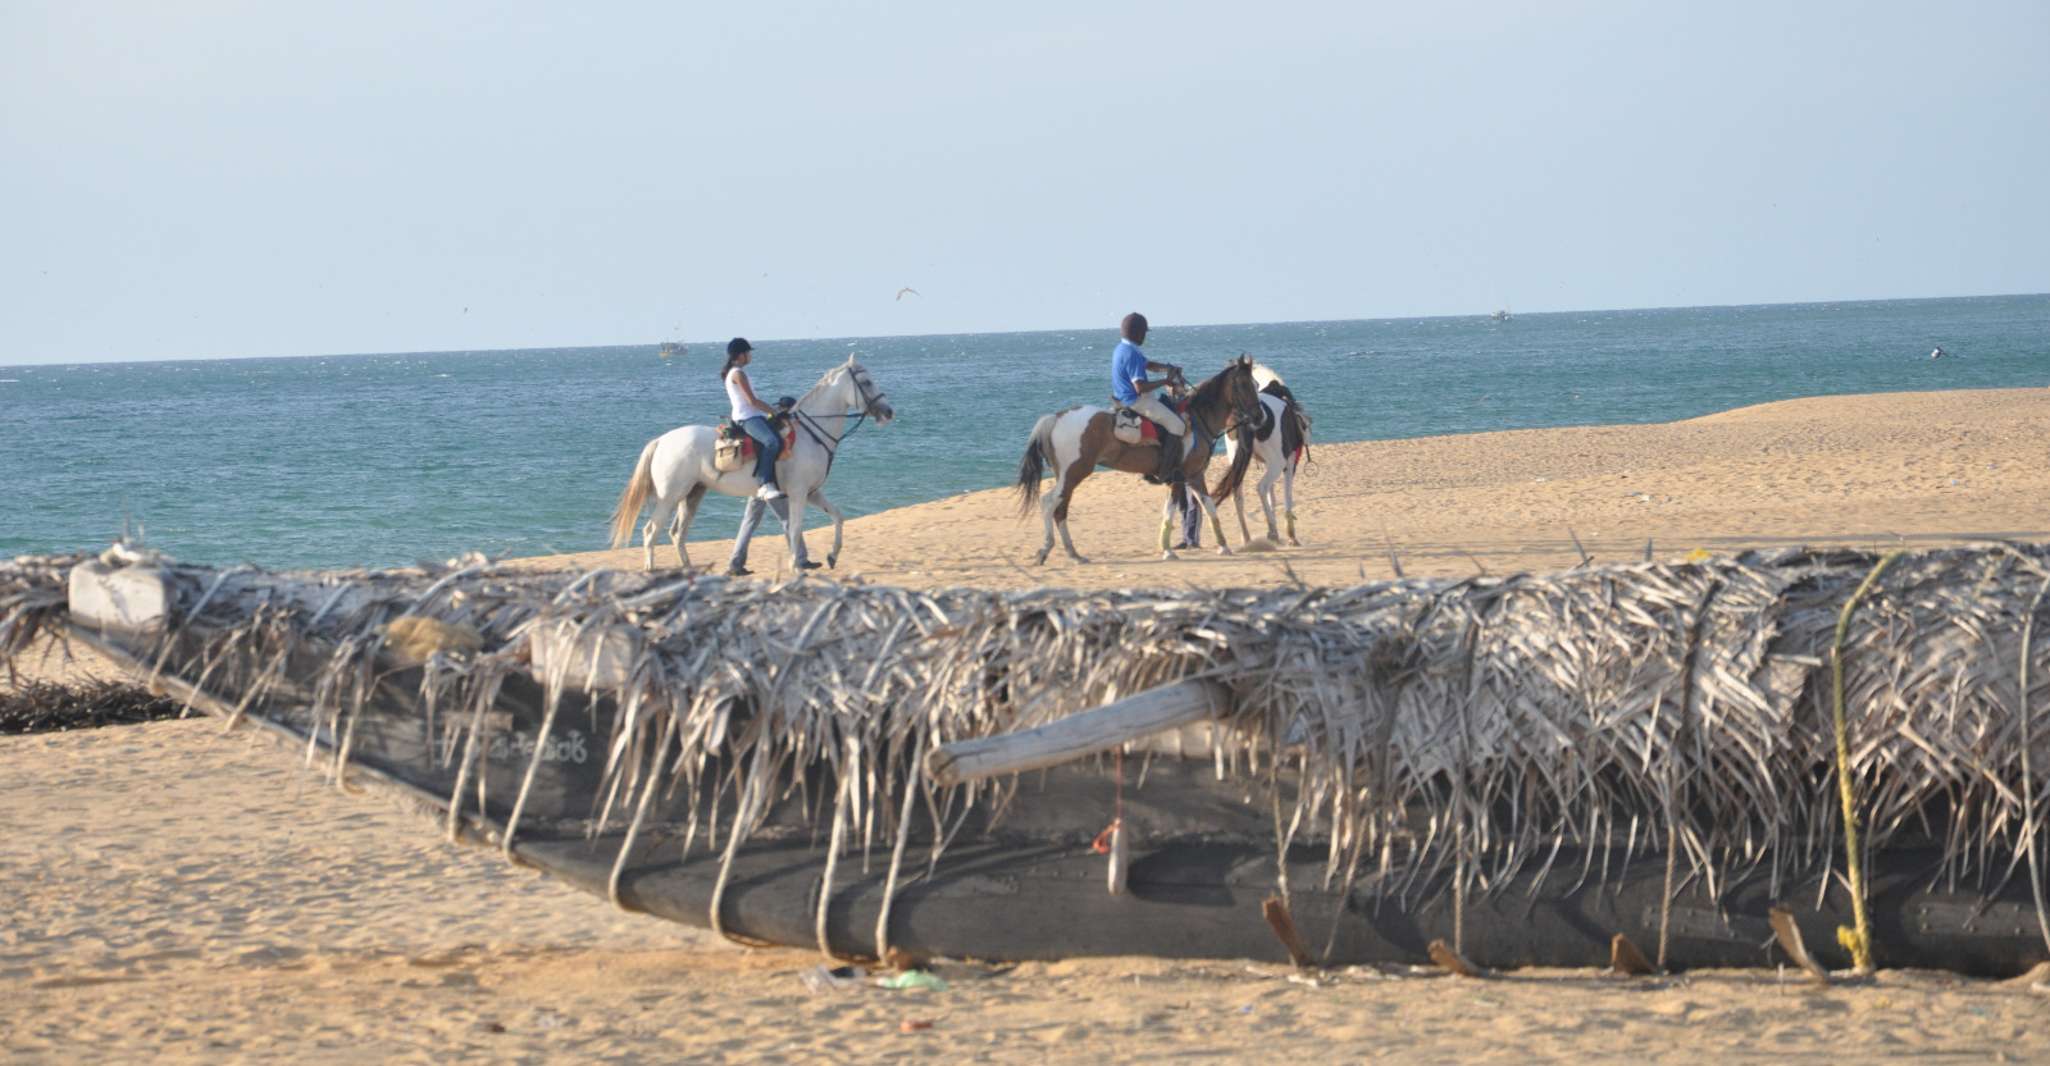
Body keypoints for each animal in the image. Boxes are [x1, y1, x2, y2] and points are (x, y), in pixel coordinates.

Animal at [610, 356, 893, 574]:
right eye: (866, 382)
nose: (888, 412)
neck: (810, 435)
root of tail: (661, 441)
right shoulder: (798, 493)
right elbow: (796, 528)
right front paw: (797, 567)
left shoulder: (812, 492)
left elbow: (837, 516)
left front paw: (831, 556)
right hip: (670, 496)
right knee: (650, 531)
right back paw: (651, 569)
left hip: (692, 495)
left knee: (676, 533)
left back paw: (690, 569)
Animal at [1012, 354, 1262, 565]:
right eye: (1244, 384)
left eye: (1256, 384)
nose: (1259, 417)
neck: (1198, 418)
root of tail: (1055, 418)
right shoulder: (1181, 477)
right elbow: (1172, 512)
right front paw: (1169, 550)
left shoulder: (1194, 475)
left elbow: (1208, 507)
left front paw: (1223, 546)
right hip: (1074, 473)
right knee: (1050, 503)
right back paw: (1048, 550)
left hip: (1068, 476)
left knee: (1059, 509)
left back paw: (1073, 554)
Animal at [1213, 366, 1312, 549]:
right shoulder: (1289, 463)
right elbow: (1286, 496)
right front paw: (1290, 536)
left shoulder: (1268, 464)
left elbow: (1272, 496)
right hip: (1277, 464)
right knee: (1261, 487)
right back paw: (1271, 531)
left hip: (1238, 461)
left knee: (1238, 495)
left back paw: (1247, 537)